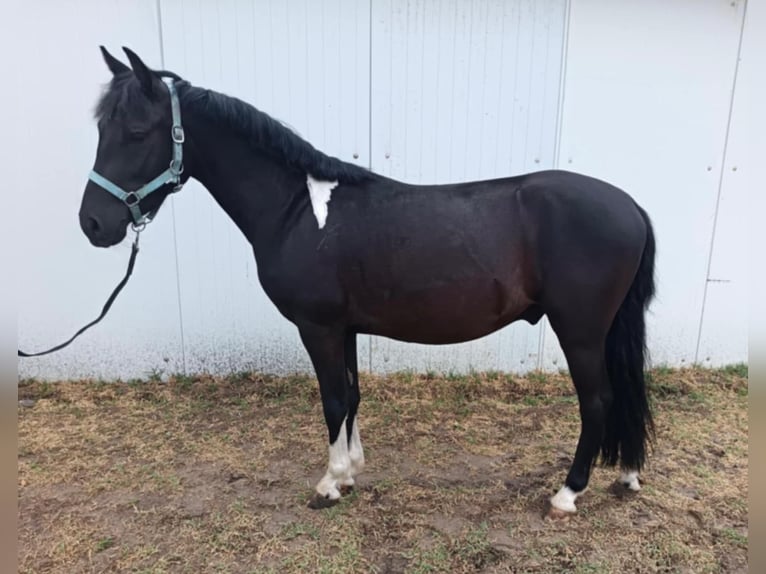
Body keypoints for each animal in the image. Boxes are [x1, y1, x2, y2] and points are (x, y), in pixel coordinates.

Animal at [78, 46, 656, 518]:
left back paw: (567, 494)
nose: (93, 225)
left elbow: (333, 399)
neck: (297, 210)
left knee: (597, 400)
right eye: (101, 131)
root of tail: (630, 205)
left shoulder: (318, 327)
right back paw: (626, 476)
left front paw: (330, 484)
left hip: (579, 330)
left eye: (136, 133)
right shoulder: (346, 327)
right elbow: (353, 395)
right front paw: (351, 471)